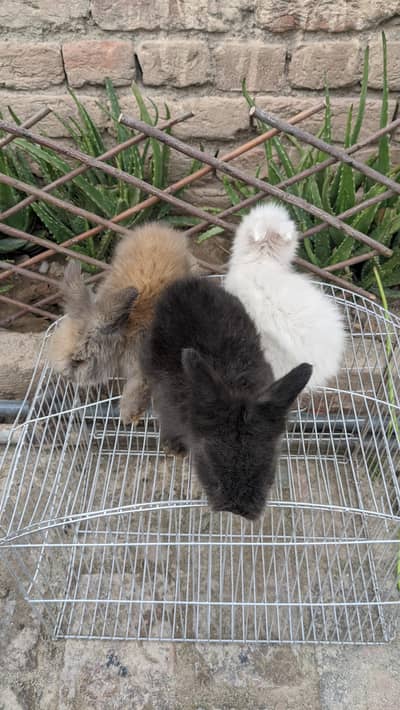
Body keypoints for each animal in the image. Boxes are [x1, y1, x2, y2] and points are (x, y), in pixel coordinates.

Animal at [47, 222, 195, 424]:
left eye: (79, 360)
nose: (66, 376)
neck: (125, 329)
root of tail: (158, 227)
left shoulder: (143, 369)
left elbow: (137, 388)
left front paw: (128, 416)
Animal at [140, 276, 312, 520]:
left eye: (269, 464)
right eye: (209, 461)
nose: (237, 510)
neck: (234, 384)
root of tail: (186, 282)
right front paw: (174, 449)